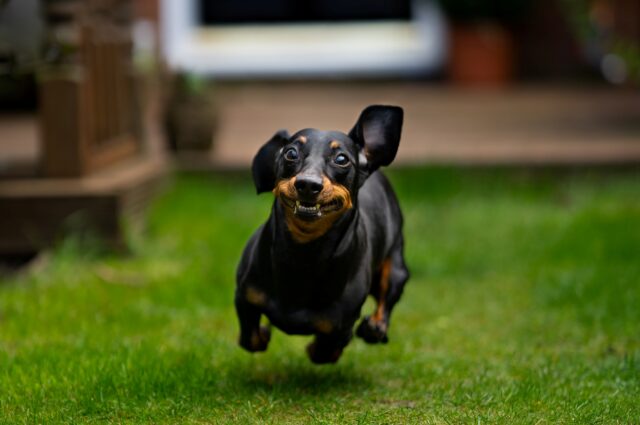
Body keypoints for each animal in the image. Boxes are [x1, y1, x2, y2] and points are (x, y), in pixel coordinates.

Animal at [236, 104, 410, 362]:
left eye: (342, 159)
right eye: (290, 153)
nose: (308, 184)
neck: (305, 253)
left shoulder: (341, 324)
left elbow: (326, 350)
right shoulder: (245, 297)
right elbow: (251, 338)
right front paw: (264, 333)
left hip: (396, 268)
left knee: (385, 301)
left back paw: (375, 327)